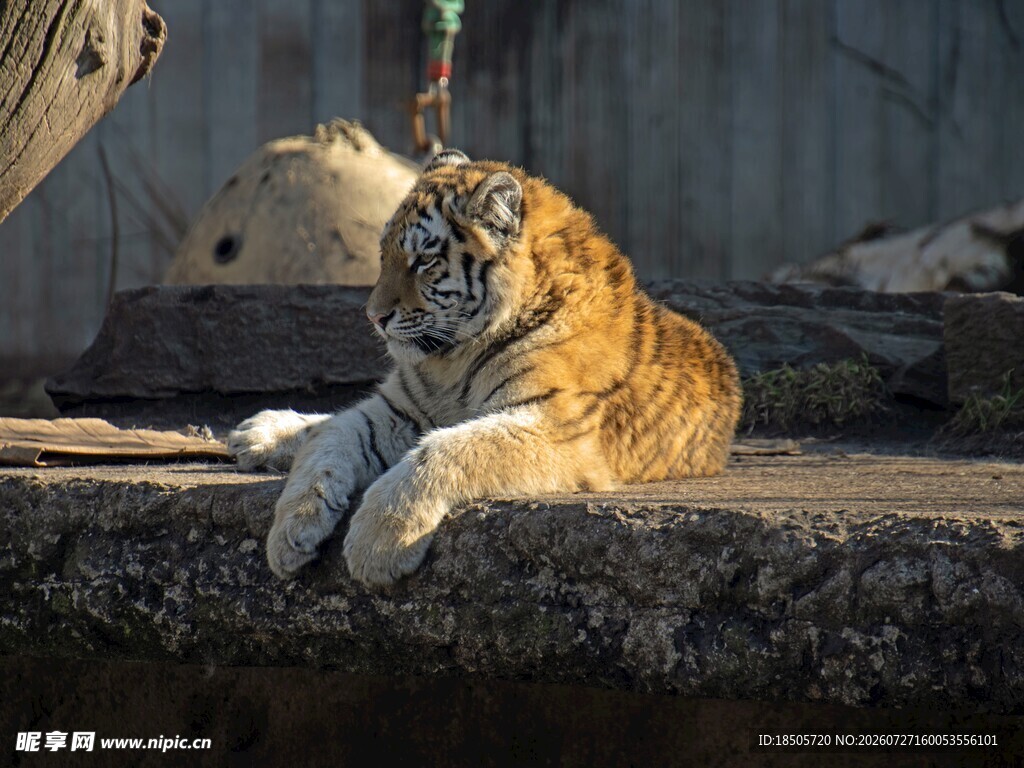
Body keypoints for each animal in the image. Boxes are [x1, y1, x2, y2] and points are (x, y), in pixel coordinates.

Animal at [227, 149, 742, 588]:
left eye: (423, 261)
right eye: (383, 255)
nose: (373, 317)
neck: (452, 360)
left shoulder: (554, 428)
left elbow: (447, 448)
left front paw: (379, 541)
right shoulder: (397, 410)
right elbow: (332, 437)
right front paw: (289, 533)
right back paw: (257, 432)